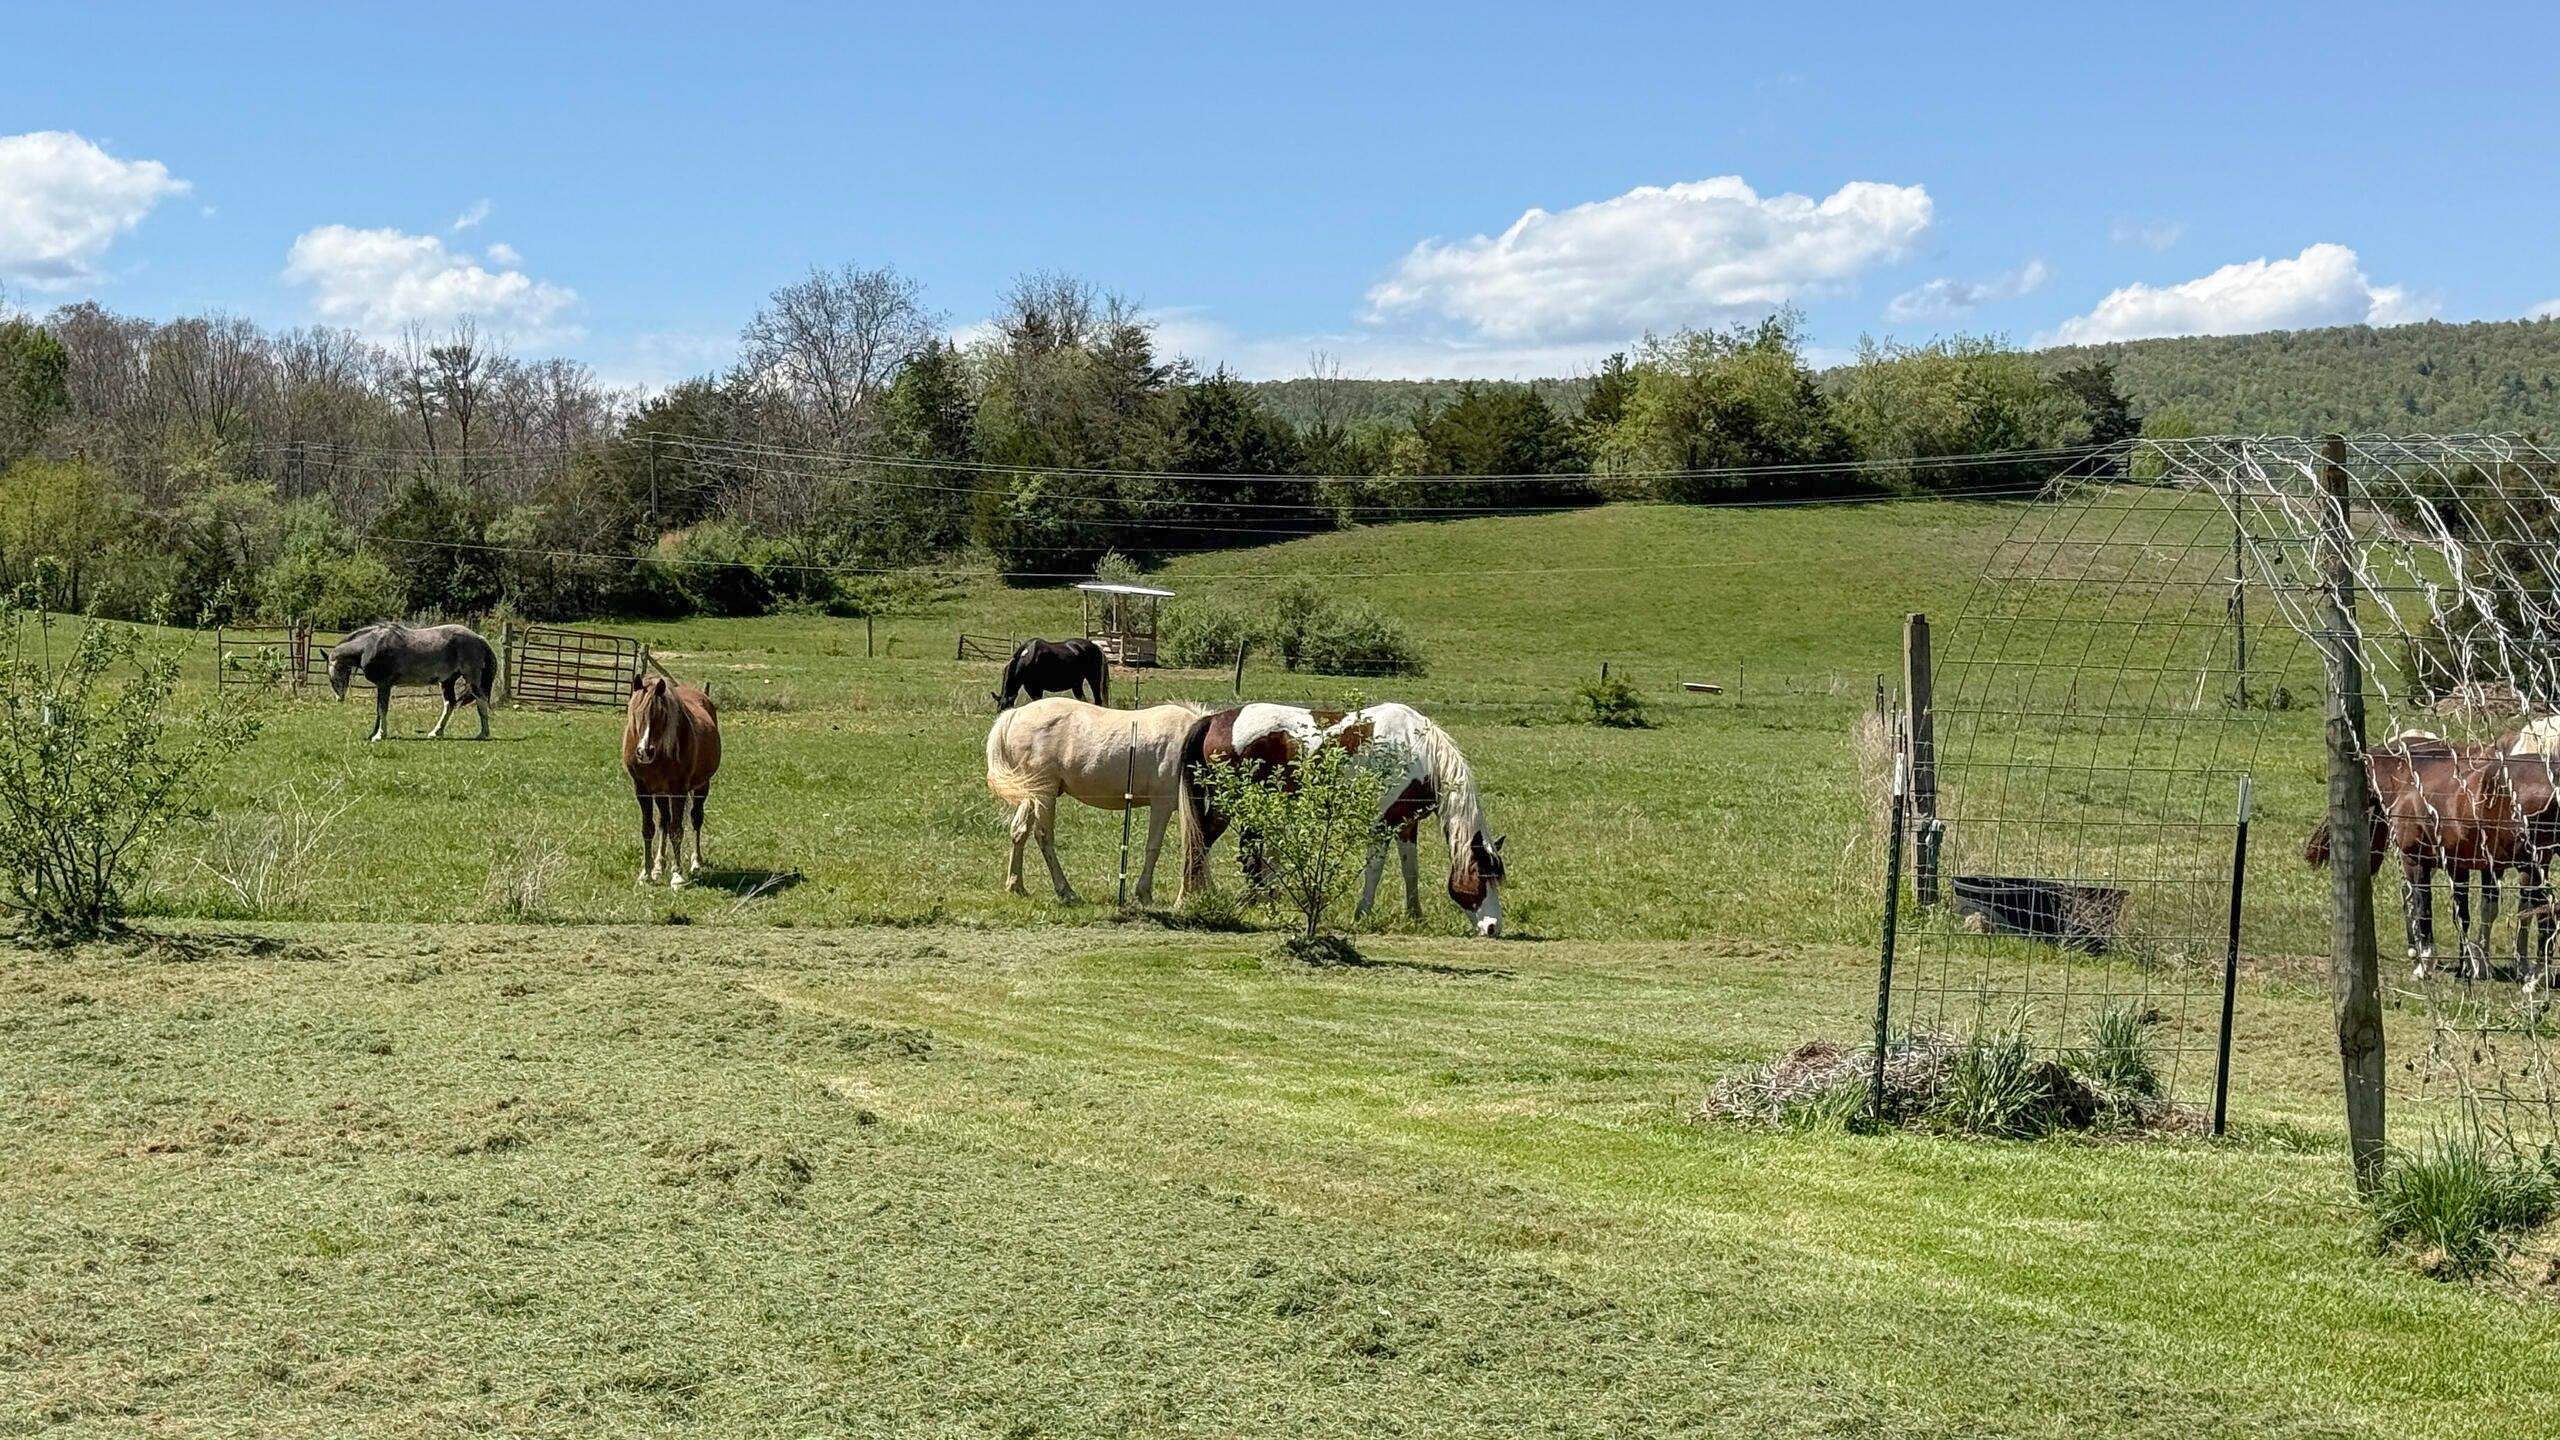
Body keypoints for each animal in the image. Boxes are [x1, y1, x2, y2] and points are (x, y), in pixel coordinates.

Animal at [327, 621, 500, 742]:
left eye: (332, 678)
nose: (339, 698)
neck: (370, 645)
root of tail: (479, 638)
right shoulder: (381, 686)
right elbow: (378, 710)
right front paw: (373, 733)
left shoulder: (384, 685)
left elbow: (382, 709)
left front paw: (380, 735)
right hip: (447, 681)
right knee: (449, 704)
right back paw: (436, 732)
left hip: (471, 679)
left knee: (481, 700)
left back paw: (483, 734)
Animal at [623, 670, 721, 888]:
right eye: (636, 713)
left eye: (660, 714)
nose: (644, 752)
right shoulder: (642, 790)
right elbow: (649, 828)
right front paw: (646, 873)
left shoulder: (678, 791)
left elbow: (677, 830)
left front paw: (677, 876)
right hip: (661, 792)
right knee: (664, 822)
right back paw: (659, 865)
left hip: (702, 786)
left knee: (695, 819)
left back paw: (696, 862)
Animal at [984, 697, 1204, 903]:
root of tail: (1014, 714)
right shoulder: (1162, 804)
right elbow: (1156, 847)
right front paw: (1148, 894)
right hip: (1044, 794)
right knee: (1043, 836)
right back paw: (1066, 891)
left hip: (1029, 794)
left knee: (1019, 831)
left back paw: (1016, 885)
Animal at [1178, 702, 1506, 937]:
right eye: (1482, 878)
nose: (1493, 927)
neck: (1417, 750)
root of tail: (1216, 720)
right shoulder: (1381, 823)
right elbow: (1374, 870)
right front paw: (1363, 913)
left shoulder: (1406, 824)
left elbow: (1410, 871)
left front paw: (1415, 915)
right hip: (1227, 808)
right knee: (1204, 847)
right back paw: (1192, 900)